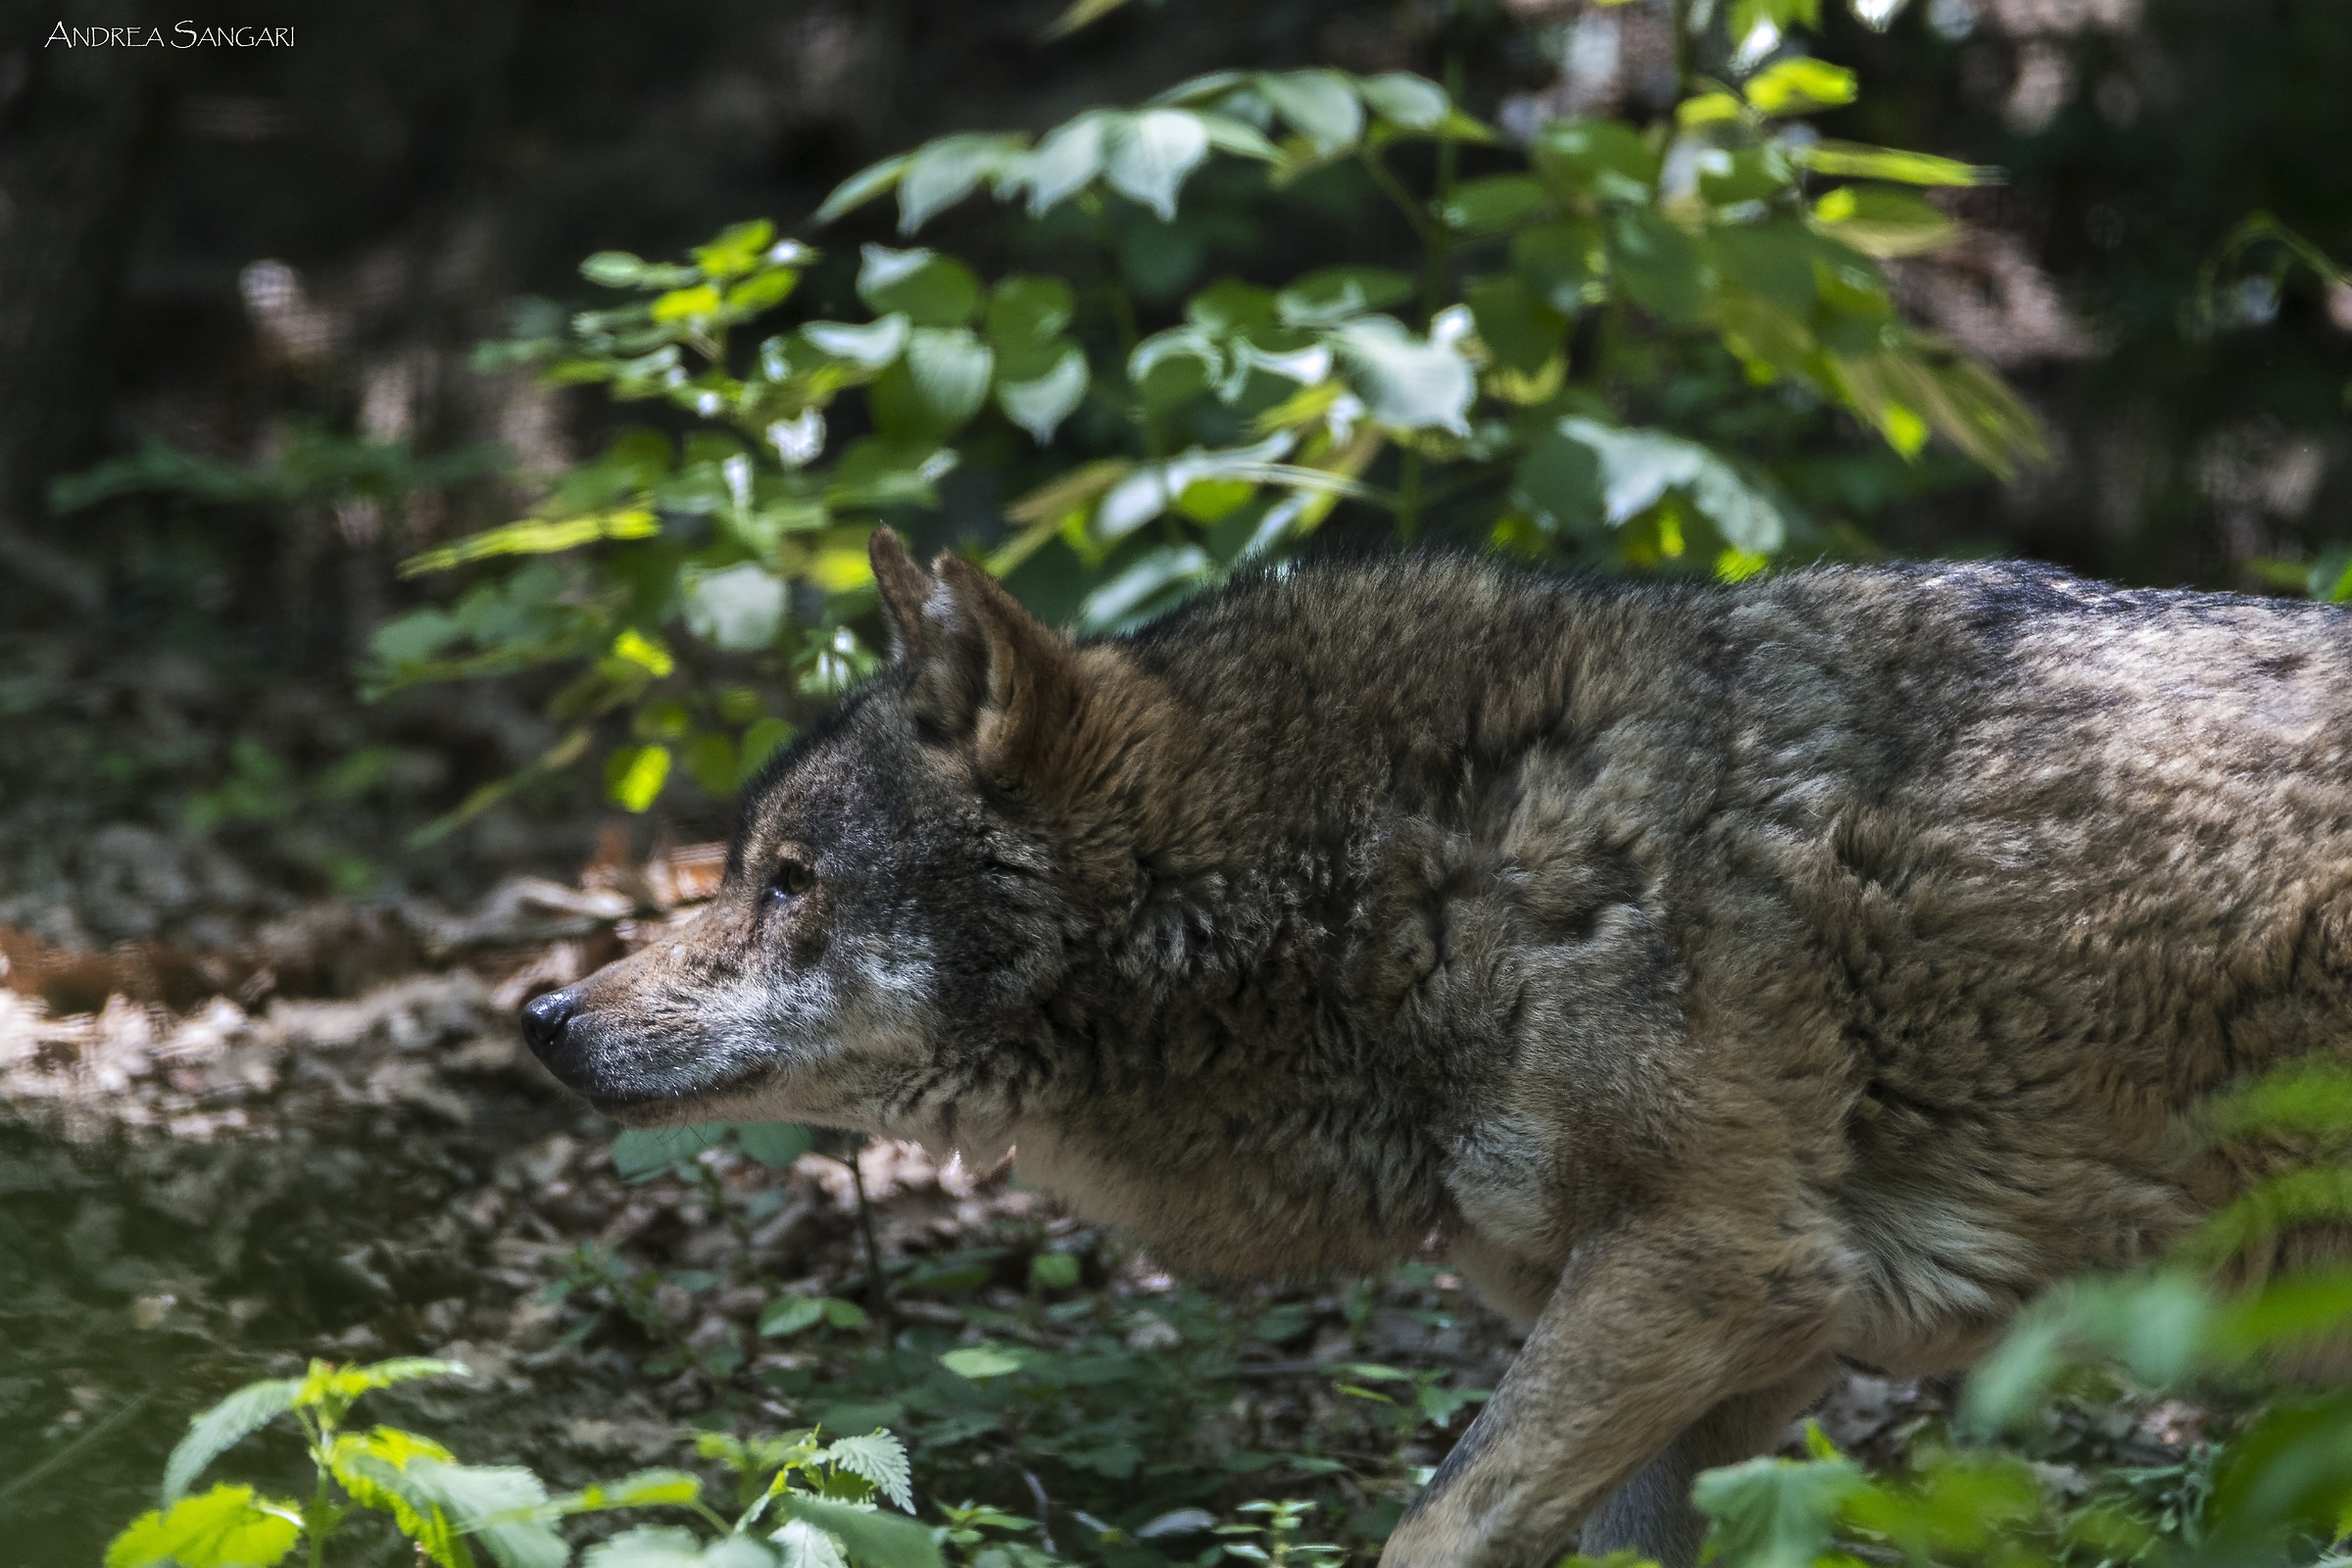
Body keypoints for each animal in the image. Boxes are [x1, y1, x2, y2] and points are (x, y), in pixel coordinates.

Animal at [522, 529, 2352, 1568]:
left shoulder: (1708, 1268)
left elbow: (1432, 1528)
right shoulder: (1733, 1358)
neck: (1414, 874)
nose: (543, 1015)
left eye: (788, 880)